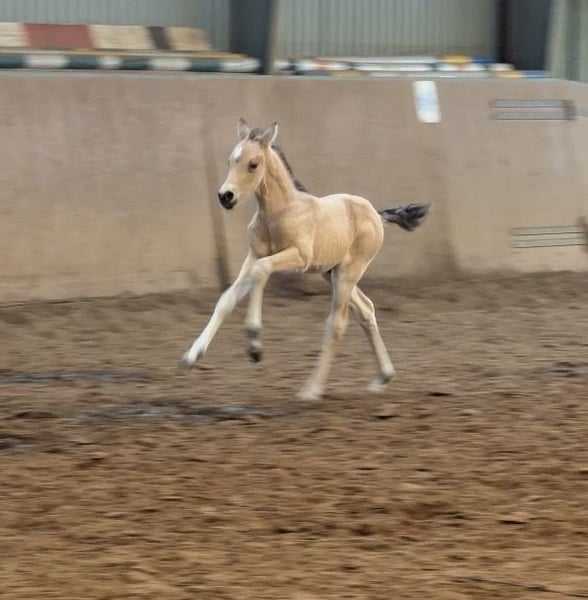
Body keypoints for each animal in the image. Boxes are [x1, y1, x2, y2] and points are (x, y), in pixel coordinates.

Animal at [180, 119, 429, 401]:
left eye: (253, 164)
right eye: (230, 160)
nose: (226, 196)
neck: (278, 212)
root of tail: (375, 213)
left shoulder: (298, 258)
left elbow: (261, 270)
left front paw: (254, 344)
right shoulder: (253, 254)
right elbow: (227, 299)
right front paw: (191, 356)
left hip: (348, 272)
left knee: (337, 324)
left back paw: (311, 390)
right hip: (331, 273)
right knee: (366, 310)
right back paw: (383, 378)